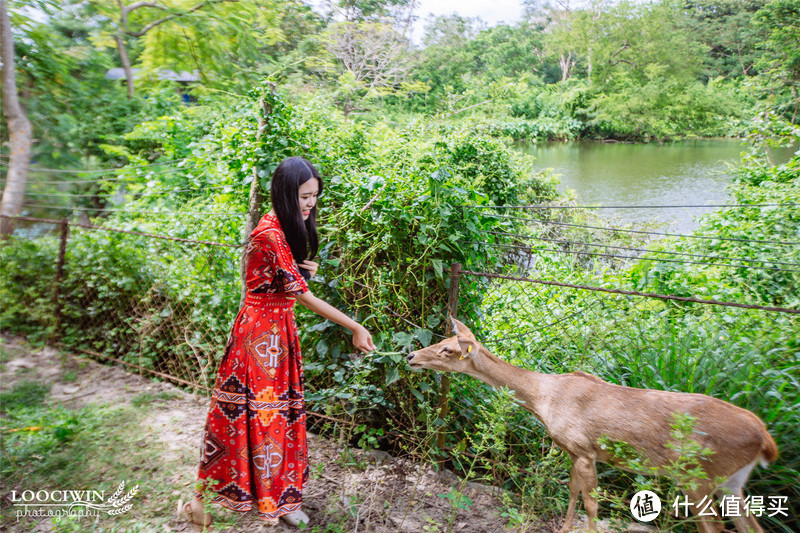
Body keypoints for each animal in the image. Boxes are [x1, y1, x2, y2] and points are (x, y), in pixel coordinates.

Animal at [406, 316, 776, 532]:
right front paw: (564, 529)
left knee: (714, 526)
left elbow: (592, 504)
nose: (410, 356)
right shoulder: (574, 450)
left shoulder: (584, 450)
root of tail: (765, 440)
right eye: (440, 341)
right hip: (732, 481)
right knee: (750, 525)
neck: (544, 399)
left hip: (697, 474)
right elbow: (572, 492)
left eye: (448, 350)